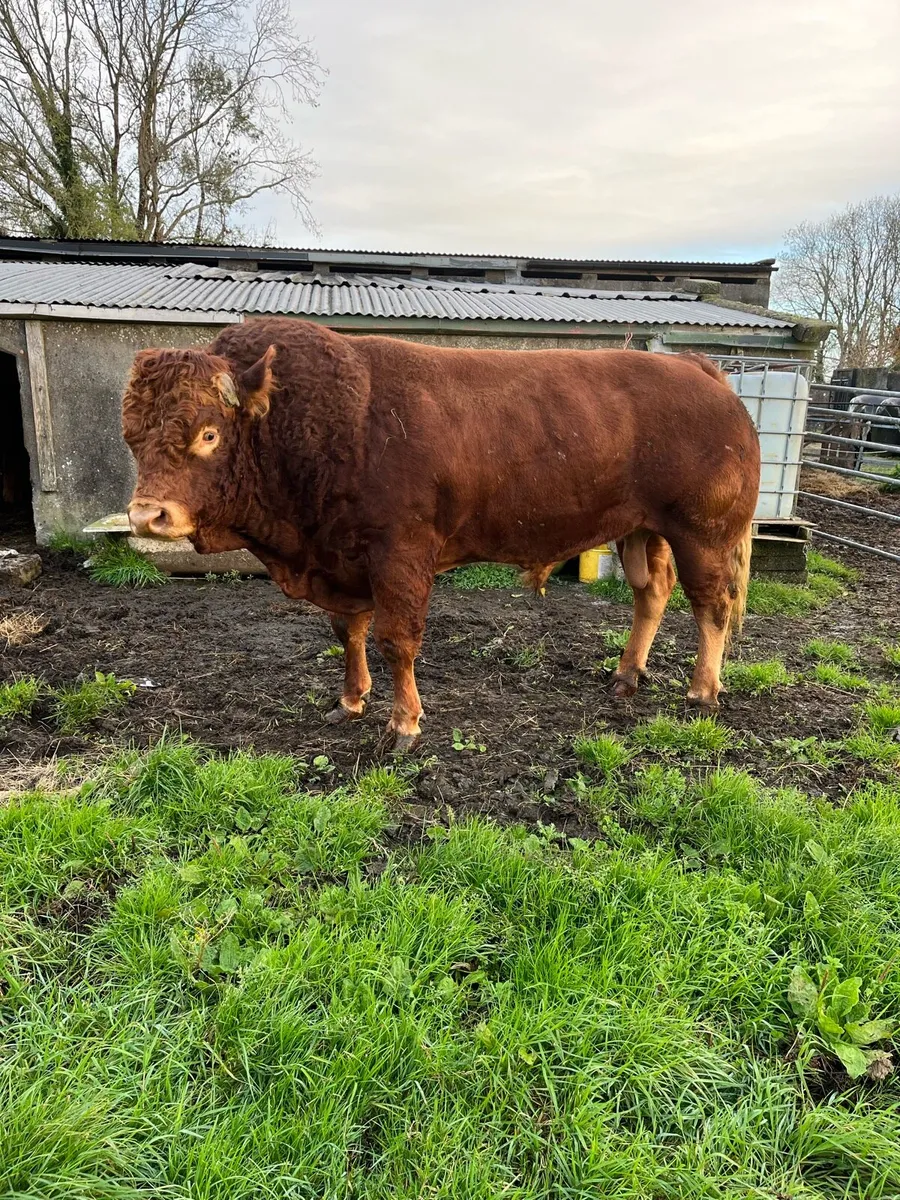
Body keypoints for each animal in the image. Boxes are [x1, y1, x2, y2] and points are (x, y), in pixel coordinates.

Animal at [123, 317, 760, 750]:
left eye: (208, 433)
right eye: (133, 435)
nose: (147, 515)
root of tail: (697, 369)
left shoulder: (399, 555)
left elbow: (395, 640)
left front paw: (404, 723)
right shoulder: (342, 560)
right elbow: (349, 632)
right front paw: (350, 701)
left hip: (702, 534)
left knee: (711, 606)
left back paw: (702, 690)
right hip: (642, 531)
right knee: (651, 593)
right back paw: (626, 676)